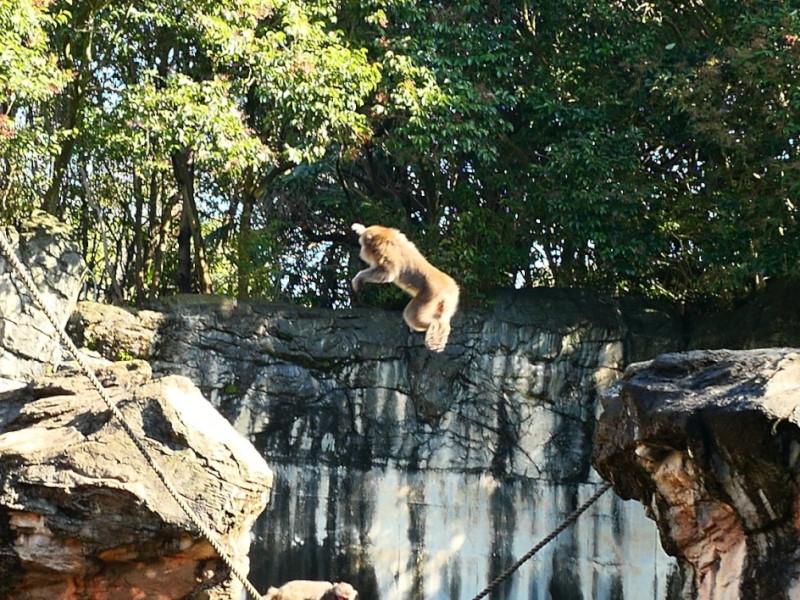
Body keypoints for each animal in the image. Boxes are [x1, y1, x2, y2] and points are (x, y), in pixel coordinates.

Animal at [351, 223, 459, 352]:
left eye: (362, 244)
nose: (361, 250)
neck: (383, 235)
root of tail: (448, 286)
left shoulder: (384, 249)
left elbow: (388, 274)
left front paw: (358, 278)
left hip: (430, 294)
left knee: (411, 315)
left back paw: (434, 324)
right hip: (449, 300)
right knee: (444, 316)